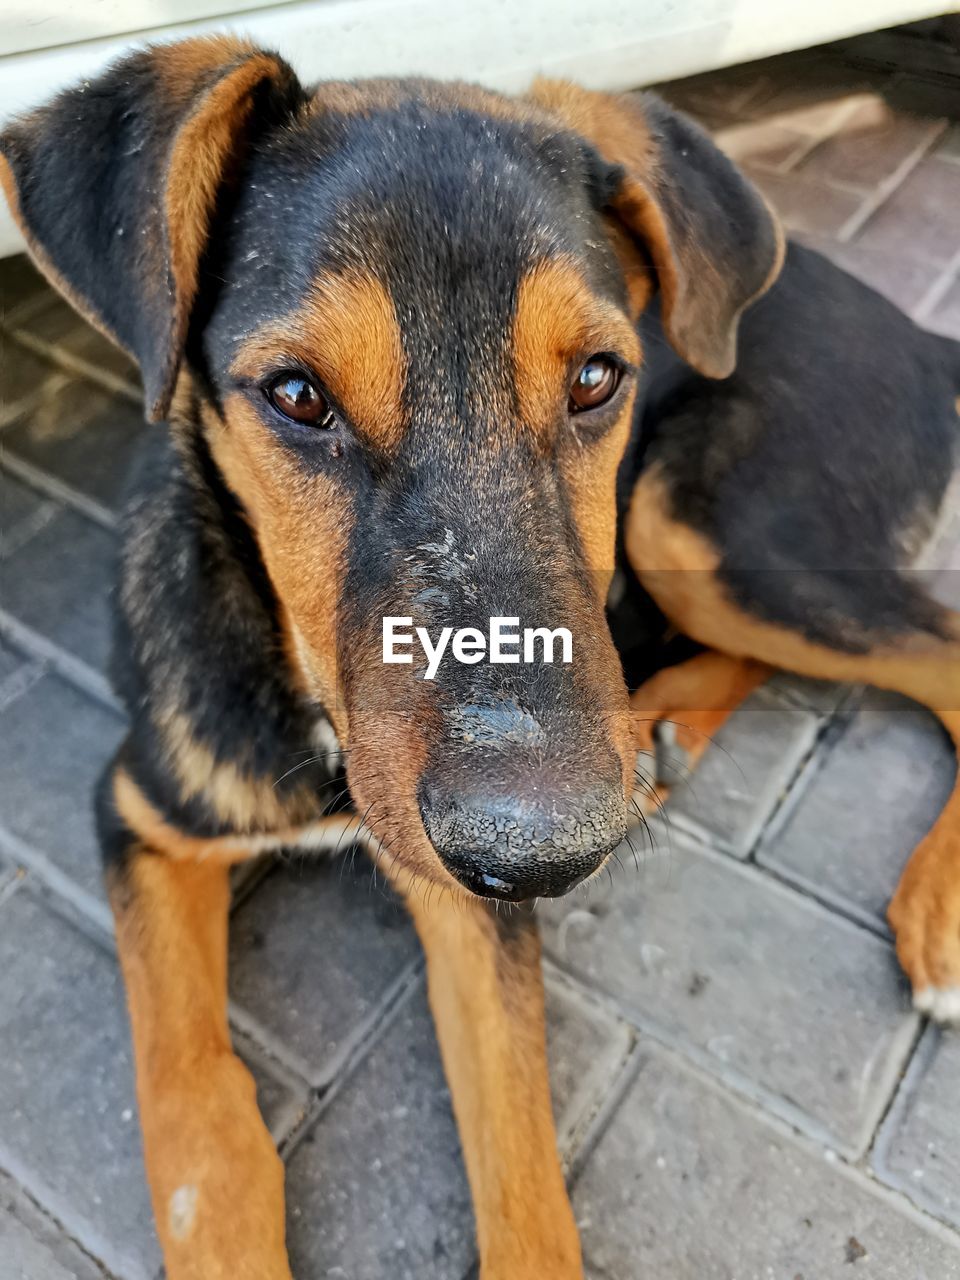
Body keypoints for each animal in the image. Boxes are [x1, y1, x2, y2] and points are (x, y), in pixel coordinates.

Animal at [0, 32, 957, 1280]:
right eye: (295, 394)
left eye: (599, 376)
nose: (549, 854)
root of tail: (926, 338)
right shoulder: (141, 811)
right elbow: (196, 1112)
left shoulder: (473, 903)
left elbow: (523, 1177)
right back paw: (662, 731)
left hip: (694, 522)